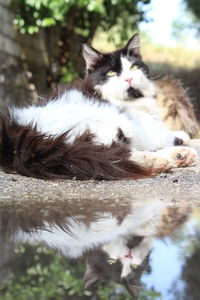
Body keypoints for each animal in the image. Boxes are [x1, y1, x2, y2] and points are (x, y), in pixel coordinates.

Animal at [0, 34, 197, 179]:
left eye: (133, 68)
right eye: (111, 73)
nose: (128, 78)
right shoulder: (143, 126)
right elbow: (167, 134)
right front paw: (182, 136)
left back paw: (179, 156)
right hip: (106, 123)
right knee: (115, 153)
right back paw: (159, 160)